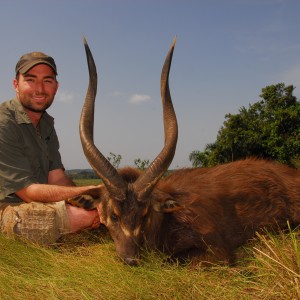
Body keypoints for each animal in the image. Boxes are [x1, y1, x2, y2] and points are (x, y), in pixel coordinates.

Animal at [69, 37, 300, 264]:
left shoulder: (218, 251)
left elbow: (173, 259)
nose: (130, 259)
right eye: (114, 215)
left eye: (145, 214)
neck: (166, 222)